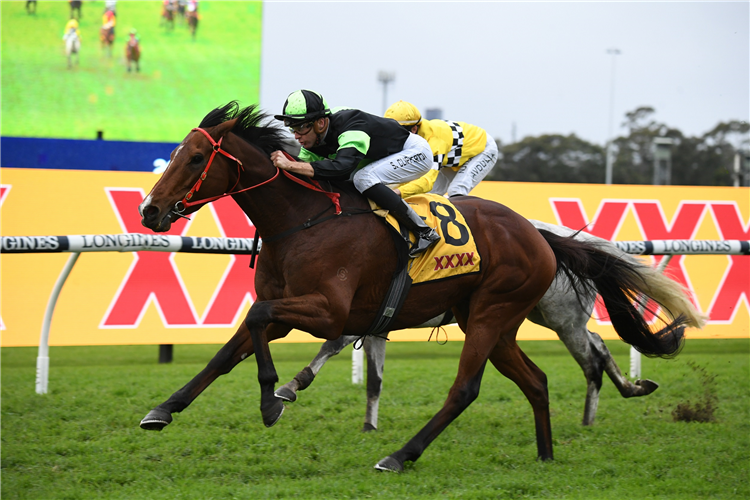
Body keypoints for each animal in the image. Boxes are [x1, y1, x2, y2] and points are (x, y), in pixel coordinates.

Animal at [137, 102, 692, 472]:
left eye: (194, 159)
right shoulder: (287, 307)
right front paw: (163, 410)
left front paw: (273, 399)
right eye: (175, 154)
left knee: (468, 387)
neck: (304, 219)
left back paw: (400, 455)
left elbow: (257, 323)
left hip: (492, 314)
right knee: (536, 380)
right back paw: (546, 454)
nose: (149, 210)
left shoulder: (326, 310)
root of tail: (539, 236)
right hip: (496, 321)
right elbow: (228, 350)